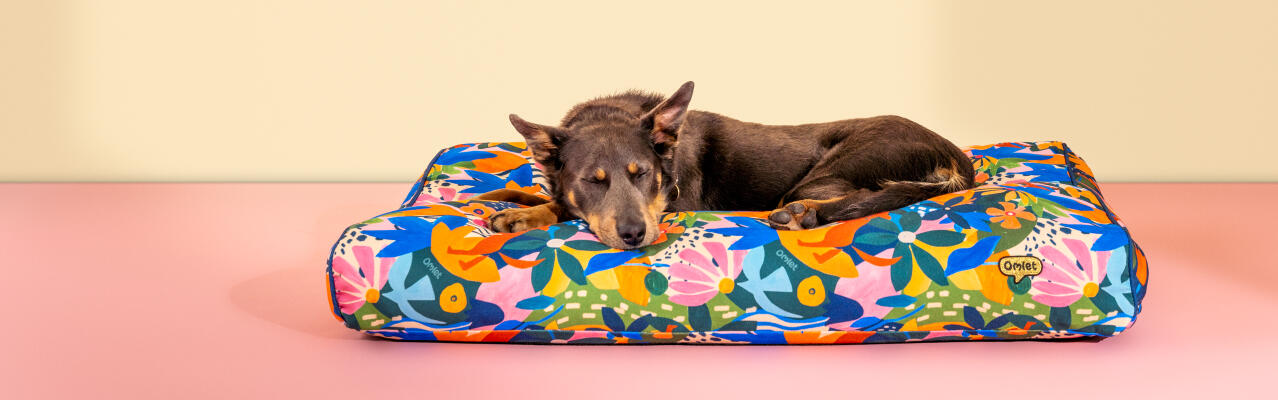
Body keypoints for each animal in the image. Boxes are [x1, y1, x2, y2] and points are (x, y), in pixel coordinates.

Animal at [475, 81, 971, 249]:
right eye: (592, 181)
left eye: (643, 174)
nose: (635, 236)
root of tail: (959, 159)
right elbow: (542, 194)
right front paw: (512, 201)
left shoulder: (670, 206)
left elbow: (561, 207)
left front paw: (523, 213)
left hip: (832, 171)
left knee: (867, 196)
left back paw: (802, 215)